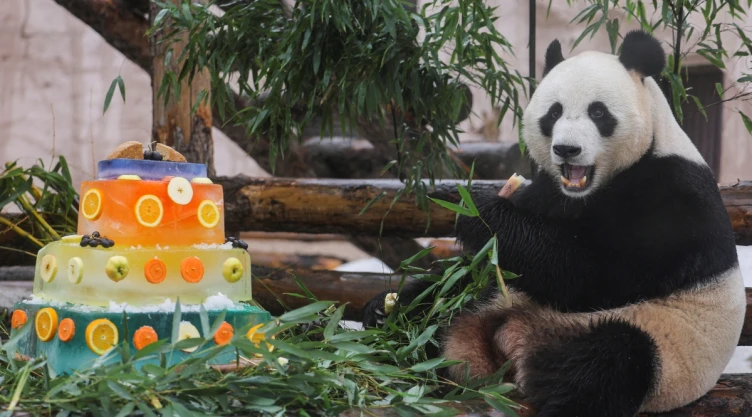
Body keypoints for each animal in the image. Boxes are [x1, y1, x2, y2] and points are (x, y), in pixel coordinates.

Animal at [362, 30, 747, 417]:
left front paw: (478, 211)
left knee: (611, 360)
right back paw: (391, 320)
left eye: (598, 112)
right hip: (496, 299)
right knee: (449, 300)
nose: (567, 149)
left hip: (662, 349)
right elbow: (487, 265)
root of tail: (511, 347)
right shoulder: (549, 192)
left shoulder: (672, 198)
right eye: (554, 112)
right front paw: (387, 303)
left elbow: (589, 272)